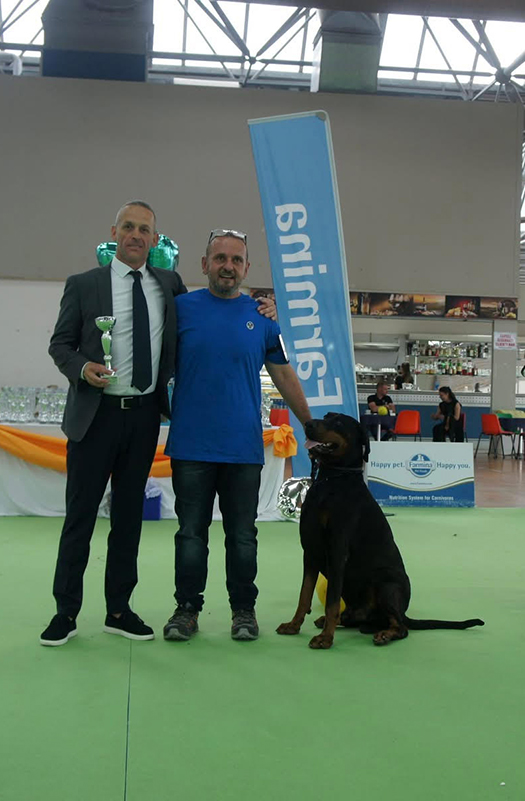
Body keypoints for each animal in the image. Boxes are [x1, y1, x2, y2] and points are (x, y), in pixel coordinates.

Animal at [276, 413, 484, 649]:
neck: (331, 481)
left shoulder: (337, 551)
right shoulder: (310, 551)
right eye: (326, 416)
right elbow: (304, 596)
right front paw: (293, 625)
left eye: (337, 422)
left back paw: (384, 634)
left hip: (385, 582)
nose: (308, 424)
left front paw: (325, 639)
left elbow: (331, 603)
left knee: (401, 627)